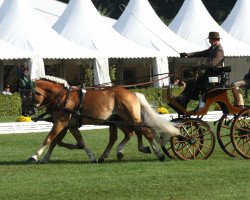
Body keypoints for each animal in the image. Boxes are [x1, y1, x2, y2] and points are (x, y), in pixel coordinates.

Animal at [19, 75, 180, 162]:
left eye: (29, 94)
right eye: (21, 94)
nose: (26, 111)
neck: (63, 97)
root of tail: (132, 93)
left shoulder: (60, 122)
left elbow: (48, 139)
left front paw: (34, 156)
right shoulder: (69, 125)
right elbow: (65, 141)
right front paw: (89, 155)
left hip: (130, 118)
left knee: (145, 132)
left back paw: (158, 153)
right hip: (118, 120)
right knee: (128, 134)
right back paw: (116, 153)